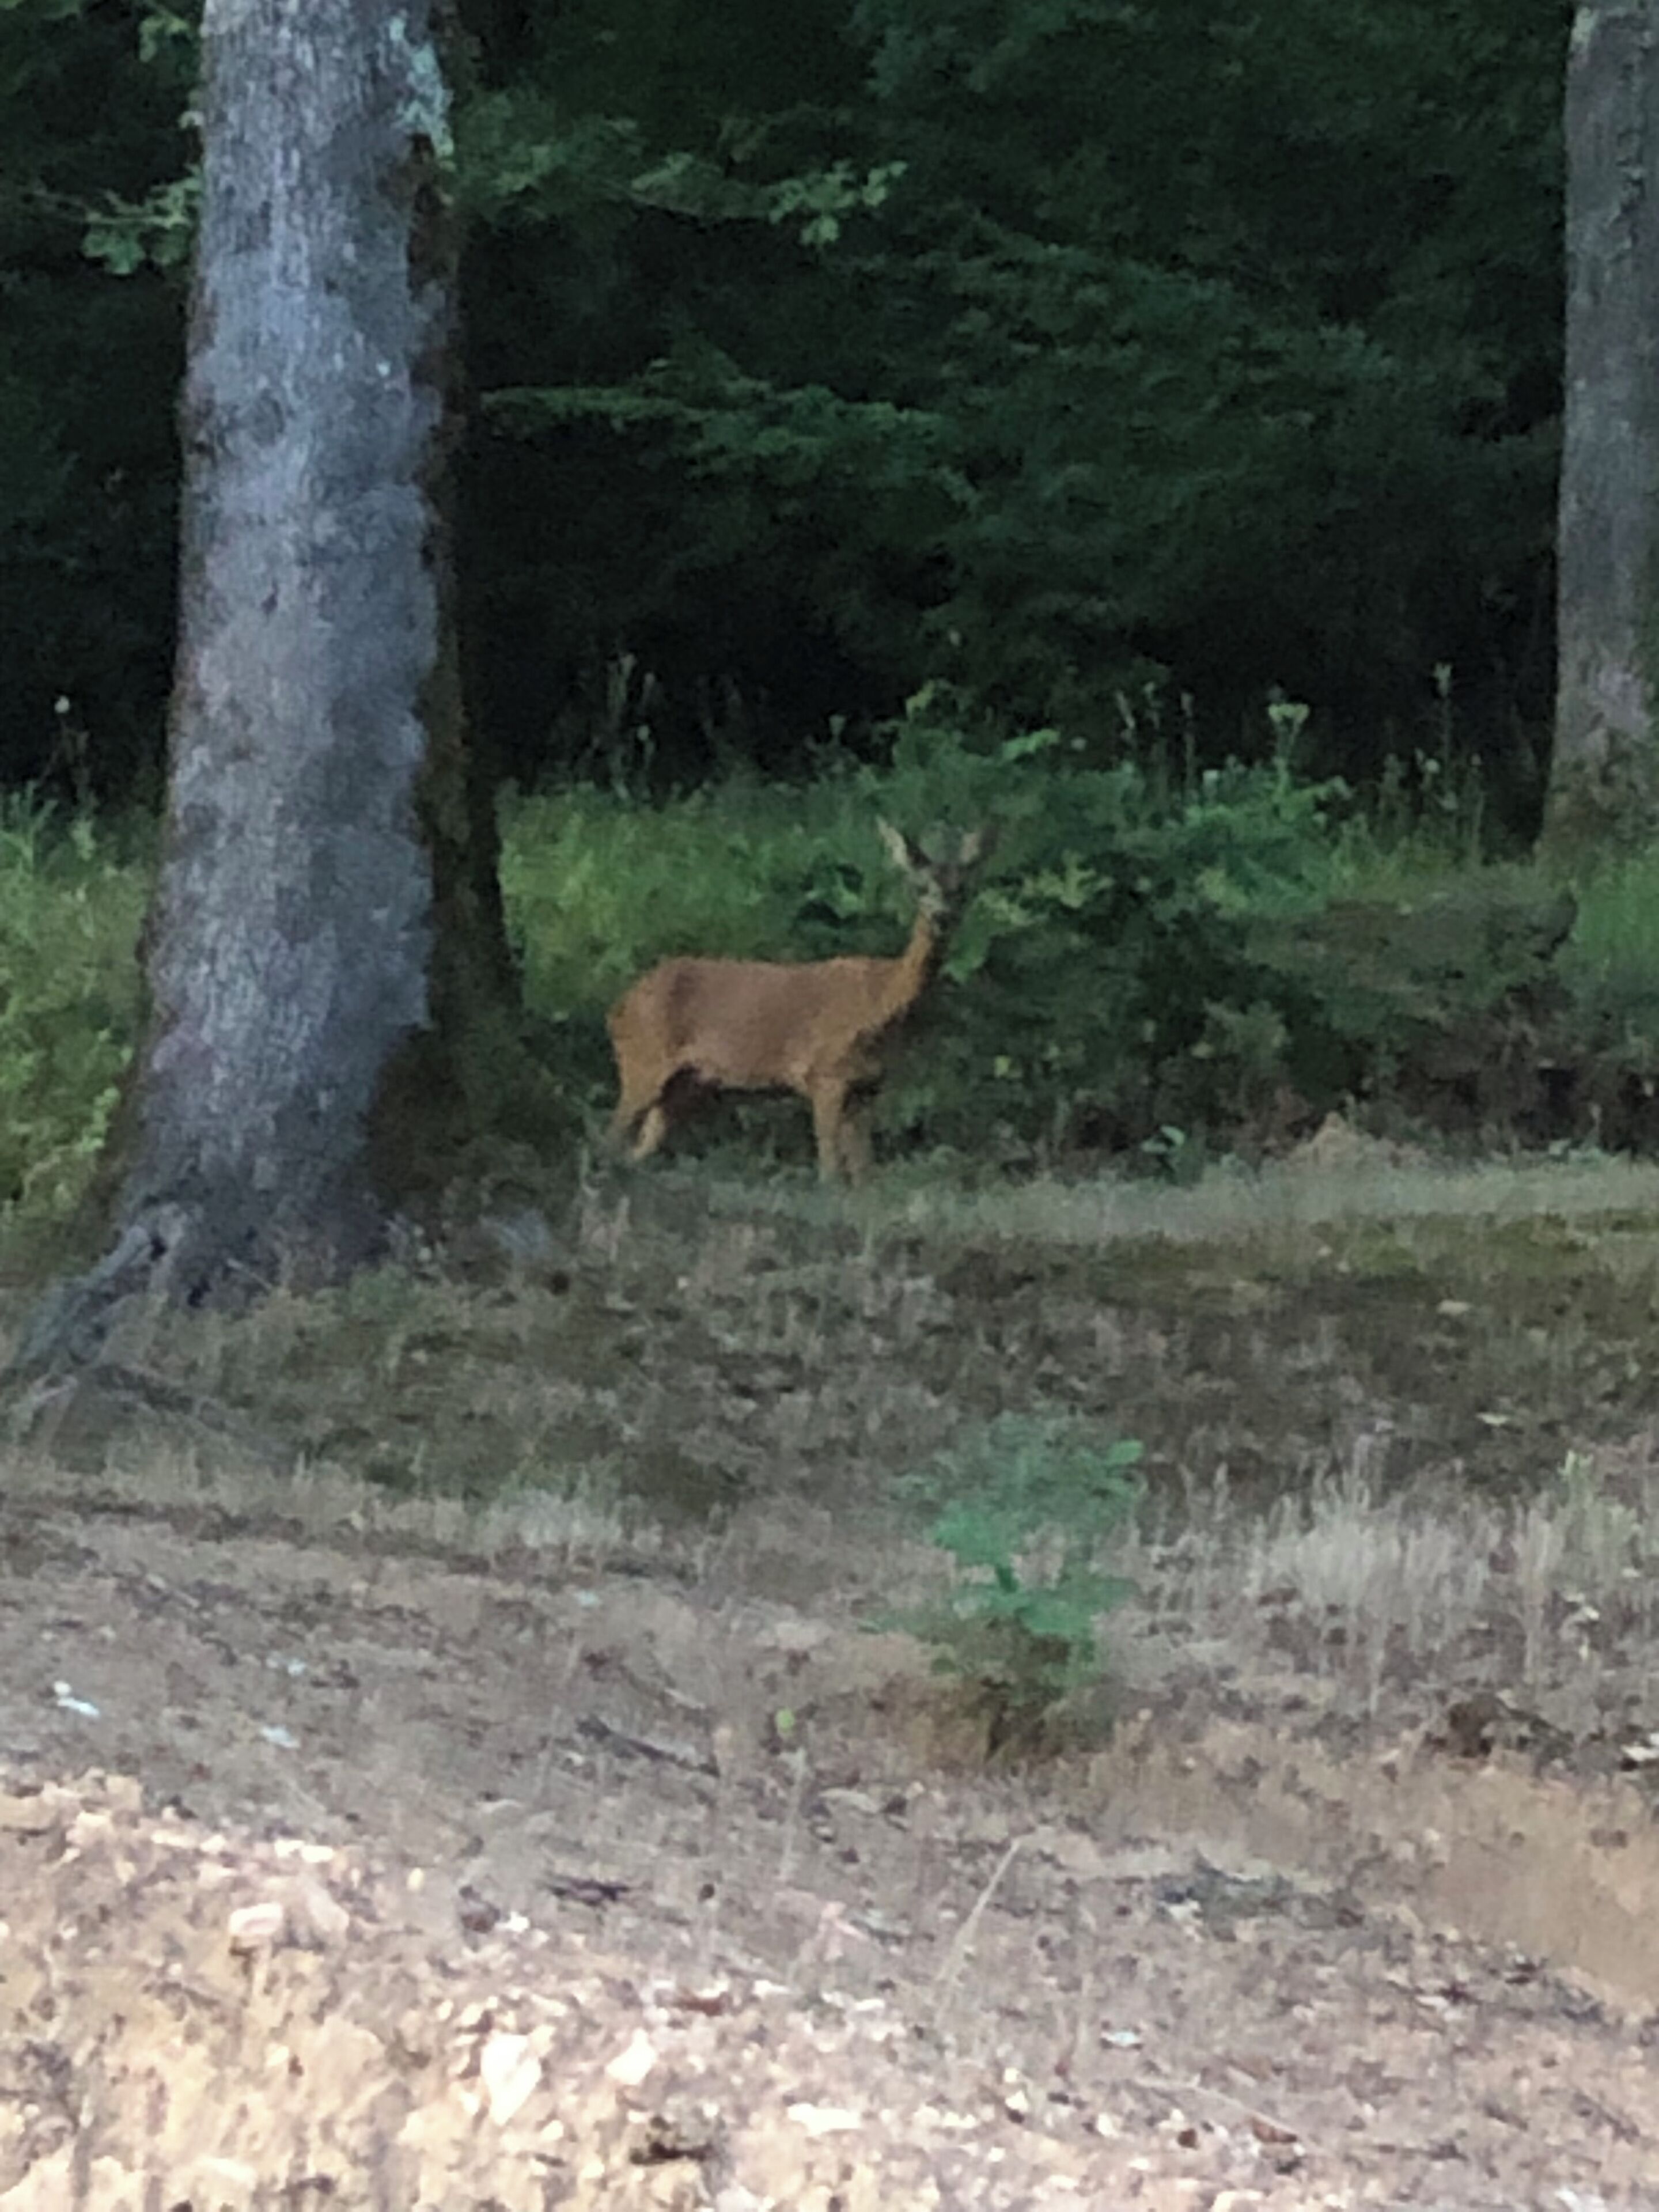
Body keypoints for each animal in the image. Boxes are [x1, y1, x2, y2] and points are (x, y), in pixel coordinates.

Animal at [605, 822, 996, 1182]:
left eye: (963, 889)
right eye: (919, 888)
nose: (942, 917)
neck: (882, 1002)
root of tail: (620, 1006)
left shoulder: (868, 1087)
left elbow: (864, 1176)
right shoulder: (824, 1074)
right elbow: (830, 1173)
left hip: (683, 1082)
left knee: (639, 1147)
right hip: (642, 1060)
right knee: (611, 1137)